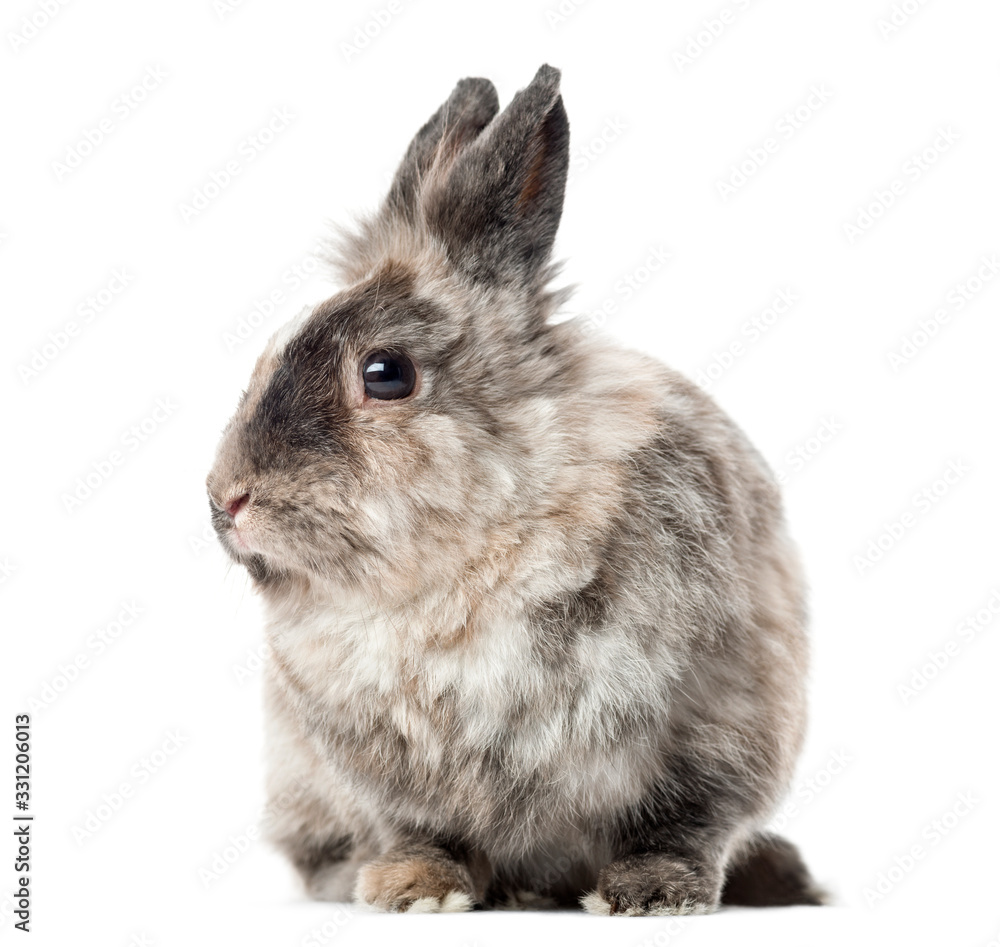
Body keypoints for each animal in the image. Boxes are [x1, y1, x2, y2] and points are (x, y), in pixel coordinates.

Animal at [206, 64, 823, 916]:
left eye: (385, 372)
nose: (226, 498)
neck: (458, 575)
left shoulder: (719, 728)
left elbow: (682, 824)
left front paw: (652, 894)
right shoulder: (379, 773)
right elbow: (418, 830)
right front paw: (412, 888)